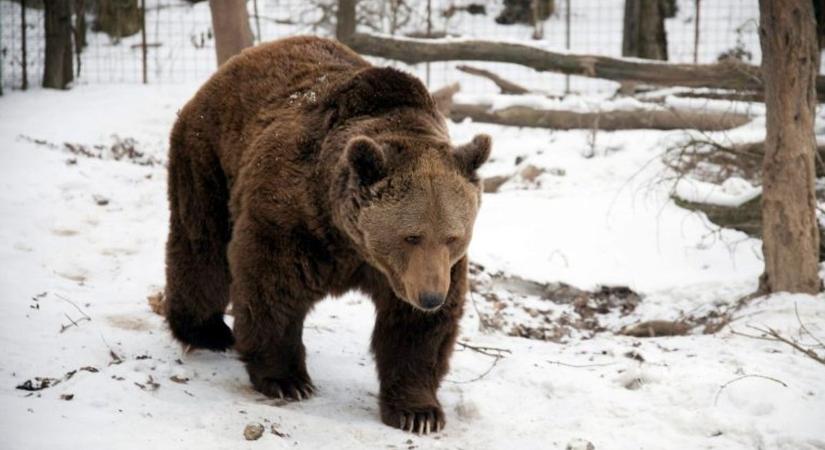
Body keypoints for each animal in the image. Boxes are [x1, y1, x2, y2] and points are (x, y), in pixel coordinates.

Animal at [165, 37, 492, 434]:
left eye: (452, 237)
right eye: (410, 236)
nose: (430, 297)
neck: (350, 240)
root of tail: (242, 58)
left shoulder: (426, 270)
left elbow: (416, 331)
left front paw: (418, 412)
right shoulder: (293, 220)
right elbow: (271, 288)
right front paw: (287, 379)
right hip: (209, 156)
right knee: (203, 248)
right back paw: (206, 330)